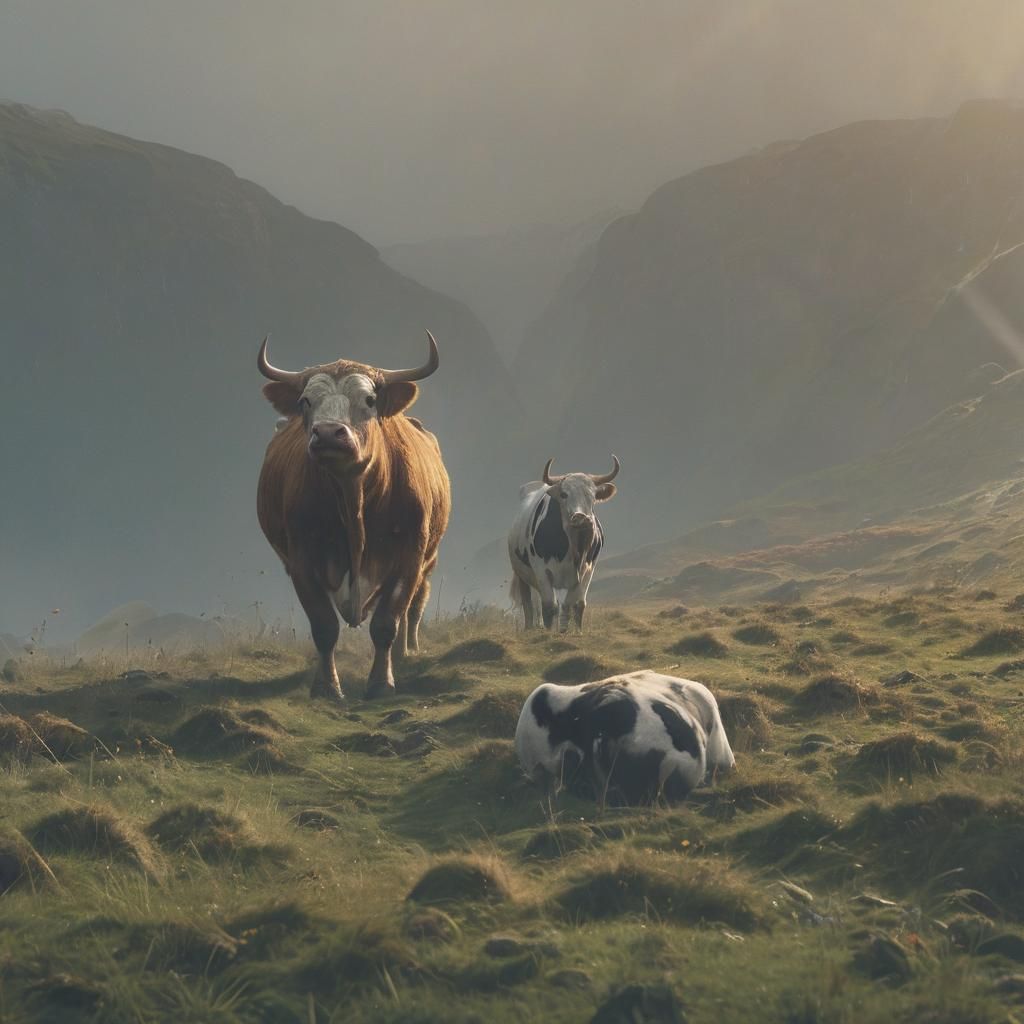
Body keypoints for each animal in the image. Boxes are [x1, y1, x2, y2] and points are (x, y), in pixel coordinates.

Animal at [256, 332, 451, 702]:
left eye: (370, 400)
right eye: (305, 401)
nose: (329, 433)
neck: (354, 499)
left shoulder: (409, 556)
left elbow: (387, 622)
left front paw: (381, 682)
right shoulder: (301, 559)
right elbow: (324, 627)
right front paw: (327, 686)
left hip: (428, 560)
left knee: (413, 608)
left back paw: (405, 654)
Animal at [508, 457, 619, 631]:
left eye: (593, 495)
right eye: (564, 494)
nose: (581, 517)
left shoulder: (588, 568)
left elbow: (576, 604)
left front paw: (572, 631)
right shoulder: (542, 570)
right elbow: (549, 606)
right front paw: (549, 632)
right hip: (521, 574)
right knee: (529, 603)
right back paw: (530, 628)